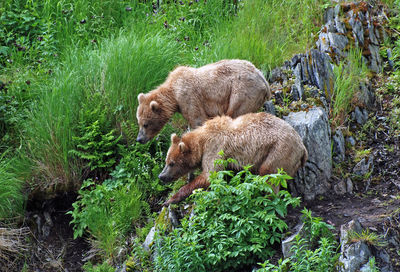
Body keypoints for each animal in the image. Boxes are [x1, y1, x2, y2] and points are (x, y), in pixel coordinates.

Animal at [136, 60, 270, 144]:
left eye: (146, 124)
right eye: (139, 122)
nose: (139, 139)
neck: (174, 93)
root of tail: (262, 78)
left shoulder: (188, 97)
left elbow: (197, 120)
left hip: (242, 92)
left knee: (236, 114)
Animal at [158, 111, 308, 205]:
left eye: (172, 163)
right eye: (166, 161)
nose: (161, 176)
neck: (201, 141)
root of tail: (302, 147)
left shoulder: (215, 148)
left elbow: (209, 176)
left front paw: (170, 200)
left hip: (279, 150)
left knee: (269, 174)